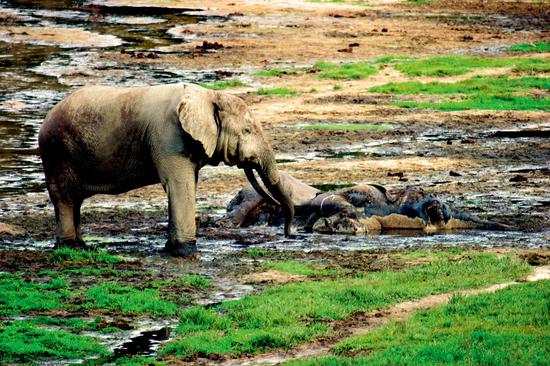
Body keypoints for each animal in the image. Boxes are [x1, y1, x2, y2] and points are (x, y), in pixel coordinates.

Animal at [39, 82, 296, 258]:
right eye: (246, 131)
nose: (288, 234)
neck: (207, 95)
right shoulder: (167, 136)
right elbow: (179, 185)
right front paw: (185, 251)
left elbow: (187, 184)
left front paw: (172, 248)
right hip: (56, 154)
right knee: (64, 198)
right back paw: (69, 246)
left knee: (75, 201)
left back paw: (80, 245)